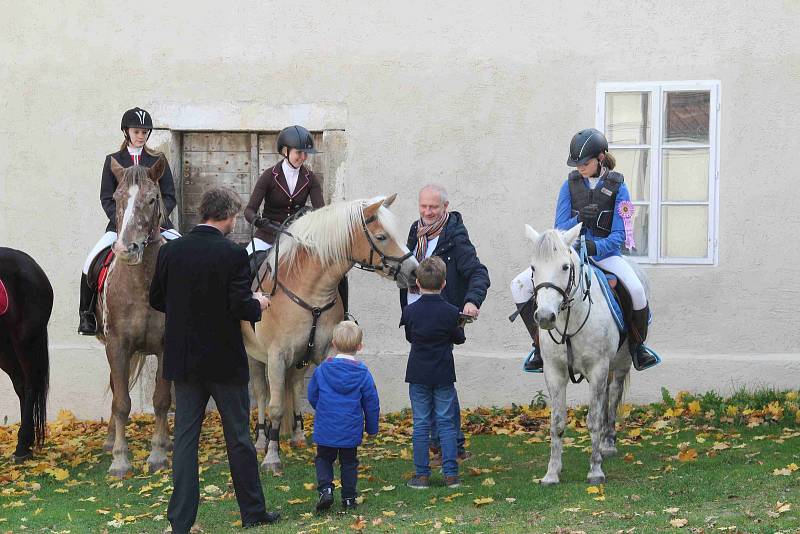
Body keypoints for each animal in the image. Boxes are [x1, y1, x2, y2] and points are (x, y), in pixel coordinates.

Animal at [242, 195, 418, 476]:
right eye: (381, 237)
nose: (413, 271)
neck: (309, 288)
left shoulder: (326, 351)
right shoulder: (276, 356)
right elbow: (275, 407)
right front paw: (271, 457)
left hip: (299, 359)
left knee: (294, 386)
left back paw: (297, 435)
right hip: (255, 357)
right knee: (261, 394)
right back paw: (261, 440)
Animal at [520, 224, 648, 488]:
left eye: (565, 267)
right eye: (534, 267)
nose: (545, 317)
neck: (571, 321)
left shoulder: (598, 368)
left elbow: (594, 419)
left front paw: (595, 470)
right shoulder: (554, 372)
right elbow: (557, 421)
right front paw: (552, 473)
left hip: (620, 363)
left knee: (613, 396)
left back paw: (608, 444)